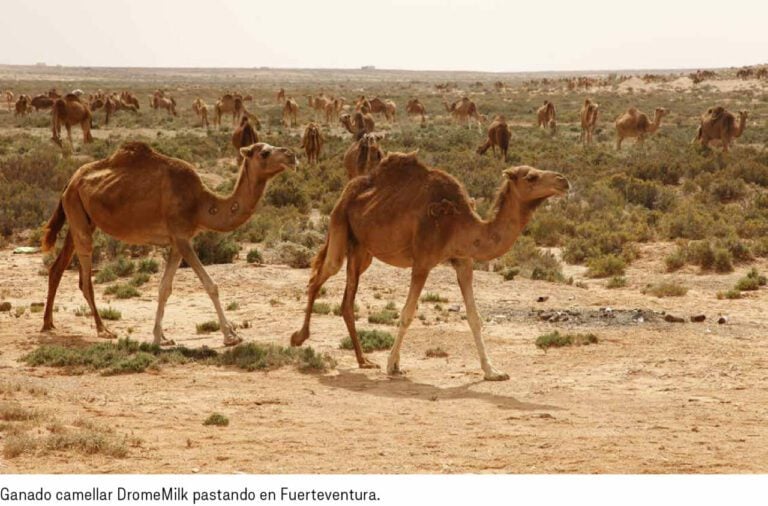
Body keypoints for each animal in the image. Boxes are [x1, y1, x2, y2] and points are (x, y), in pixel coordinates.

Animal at [41, 141, 297, 346]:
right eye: (264, 152)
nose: (292, 155)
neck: (202, 204)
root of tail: (71, 180)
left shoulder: (176, 242)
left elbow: (165, 288)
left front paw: (160, 337)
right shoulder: (183, 238)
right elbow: (211, 285)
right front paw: (231, 336)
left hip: (81, 216)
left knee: (57, 267)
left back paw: (48, 324)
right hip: (78, 213)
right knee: (85, 279)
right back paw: (103, 330)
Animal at [290, 154, 569, 379]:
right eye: (531, 177)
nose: (563, 180)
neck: (459, 224)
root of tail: (349, 190)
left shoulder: (463, 261)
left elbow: (474, 317)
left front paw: (492, 371)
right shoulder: (423, 260)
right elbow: (406, 314)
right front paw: (393, 365)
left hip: (362, 250)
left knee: (346, 301)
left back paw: (363, 361)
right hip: (339, 225)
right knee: (319, 277)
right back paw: (299, 337)